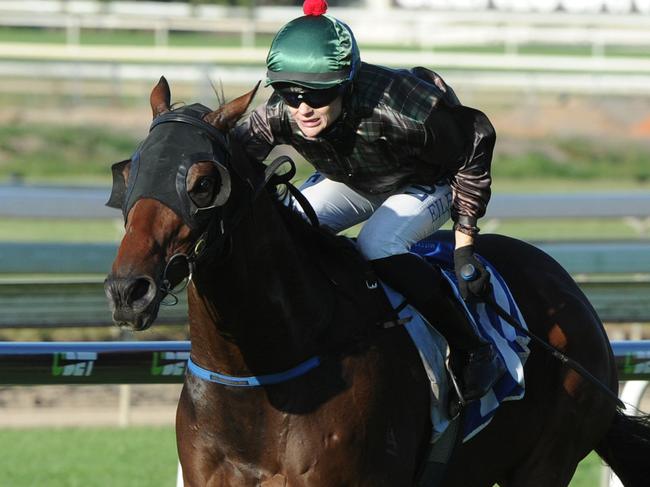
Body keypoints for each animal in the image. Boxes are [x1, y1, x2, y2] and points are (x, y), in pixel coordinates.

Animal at [102, 78, 648, 486]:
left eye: (202, 183)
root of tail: (570, 291)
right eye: (127, 172)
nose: (129, 290)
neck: (257, 373)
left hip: (546, 462)